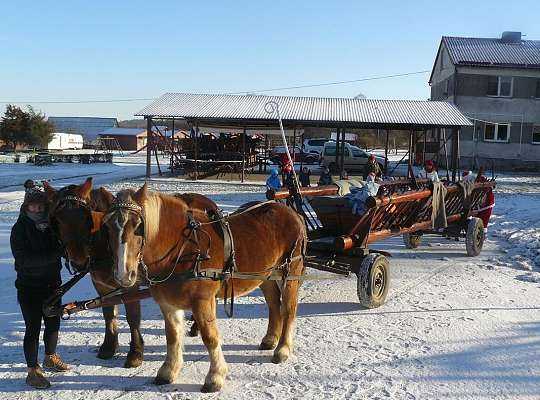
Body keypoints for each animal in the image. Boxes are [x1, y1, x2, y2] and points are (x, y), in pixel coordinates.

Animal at [43, 180, 217, 368]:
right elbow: (108, 314)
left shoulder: (130, 285)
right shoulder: (101, 286)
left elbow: (132, 317)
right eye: (57, 220)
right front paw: (109, 346)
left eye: (85, 217)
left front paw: (135, 352)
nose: (79, 260)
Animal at [104, 186, 308, 392]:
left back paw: (282, 349)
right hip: (265, 276)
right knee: (274, 305)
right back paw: (270, 339)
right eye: (108, 227)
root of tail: (292, 213)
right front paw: (169, 371)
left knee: (288, 309)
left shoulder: (202, 300)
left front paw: (215, 377)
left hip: (290, 271)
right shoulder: (167, 304)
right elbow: (172, 336)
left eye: (138, 225)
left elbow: (210, 337)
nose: (123, 274)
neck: (183, 248)